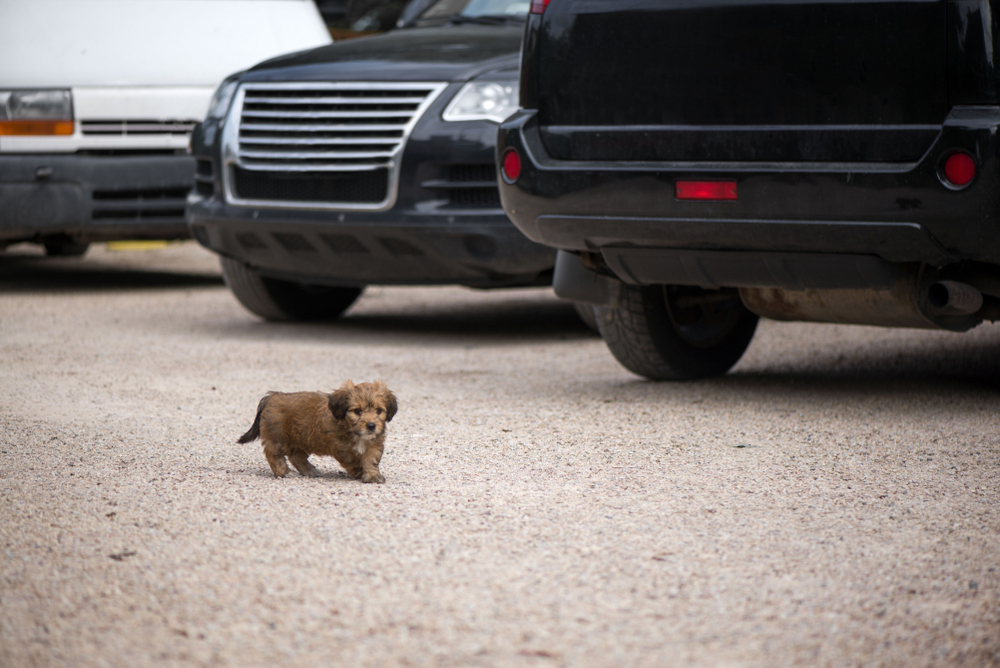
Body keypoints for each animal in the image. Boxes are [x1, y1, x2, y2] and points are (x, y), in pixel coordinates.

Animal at [239, 378, 398, 482]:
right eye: (357, 411)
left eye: (379, 411)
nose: (371, 426)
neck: (355, 432)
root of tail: (273, 396)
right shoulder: (341, 447)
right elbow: (352, 460)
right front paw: (359, 472)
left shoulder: (374, 444)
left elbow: (371, 460)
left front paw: (372, 475)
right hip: (278, 437)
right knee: (273, 454)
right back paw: (285, 472)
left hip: (302, 438)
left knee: (296, 457)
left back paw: (309, 470)